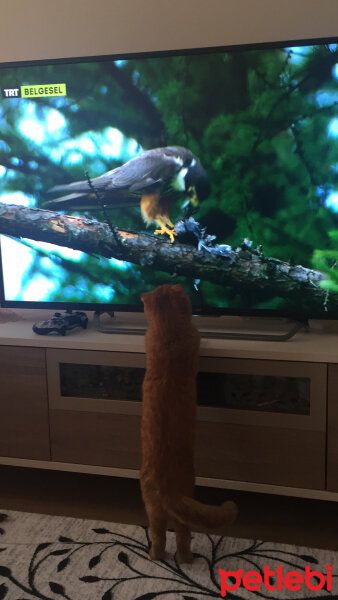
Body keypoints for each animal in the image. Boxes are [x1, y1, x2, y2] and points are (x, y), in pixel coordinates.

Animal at [140, 284, 238, 564]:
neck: (168, 332)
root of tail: (163, 486)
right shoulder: (194, 341)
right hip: (187, 494)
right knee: (182, 537)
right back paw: (187, 559)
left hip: (151, 508)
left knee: (158, 536)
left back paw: (154, 556)